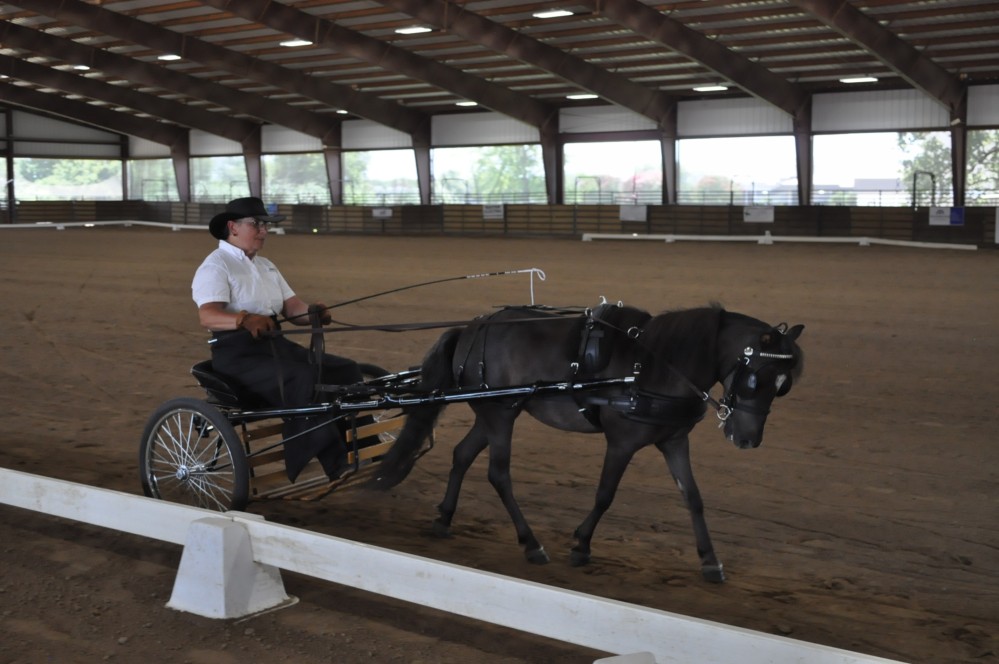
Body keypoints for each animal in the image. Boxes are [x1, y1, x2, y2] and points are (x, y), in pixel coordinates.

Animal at [376, 302, 804, 580]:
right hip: (499, 414)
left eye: (784, 385)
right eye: (756, 379)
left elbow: (693, 498)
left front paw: (710, 560)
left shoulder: (673, 441)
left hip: (497, 412)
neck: (655, 366)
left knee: (462, 455)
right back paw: (531, 543)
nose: (746, 439)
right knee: (499, 474)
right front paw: (581, 545)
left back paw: (444, 518)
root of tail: (470, 328)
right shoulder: (621, 442)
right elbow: (605, 494)